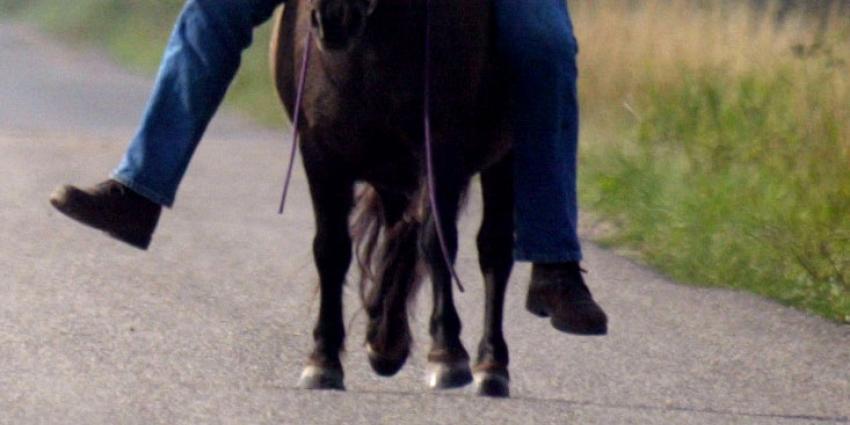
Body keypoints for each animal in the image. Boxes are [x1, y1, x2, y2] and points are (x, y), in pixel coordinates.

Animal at [270, 0, 510, 396]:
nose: (333, 19)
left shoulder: (440, 150)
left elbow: (436, 243)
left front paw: (447, 354)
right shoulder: (320, 154)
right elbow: (331, 250)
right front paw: (323, 358)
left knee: (494, 249)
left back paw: (491, 365)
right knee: (400, 237)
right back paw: (386, 341)